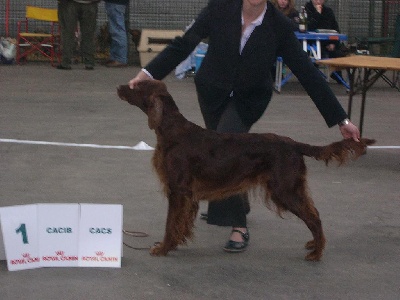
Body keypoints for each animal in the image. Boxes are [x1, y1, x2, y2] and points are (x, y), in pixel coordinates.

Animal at [117, 79, 374, 260]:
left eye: (136, 86)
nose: (119, 87)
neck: (172, 130)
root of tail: (293, 144)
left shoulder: (178, 189)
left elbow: (170, 222)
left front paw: (163, 247)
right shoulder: (185, 193)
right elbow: (180, 223)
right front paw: (174, 243)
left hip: (285, 190)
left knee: (315, 217)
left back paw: (317, 252)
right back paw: (314, 244)